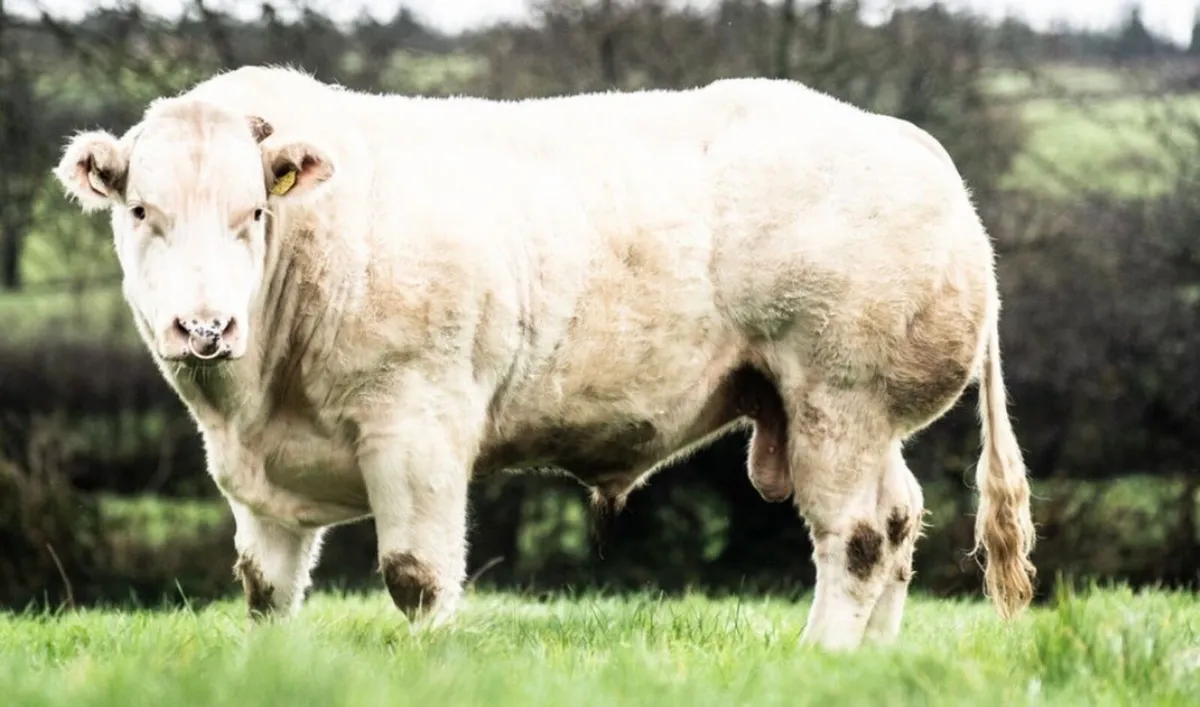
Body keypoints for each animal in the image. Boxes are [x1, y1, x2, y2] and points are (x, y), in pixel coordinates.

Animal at [52, 65, 1035, 651]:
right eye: (141, 211)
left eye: (253, 212)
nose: (205, 326)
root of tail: (901, 136)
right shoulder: (256, 477)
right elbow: (265, 591)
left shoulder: (418, 427)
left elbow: (417, 576)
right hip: (851, 418)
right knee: (900, 522)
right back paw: (868, 660)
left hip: (840, 395)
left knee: (858, 537)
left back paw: (819, 657)